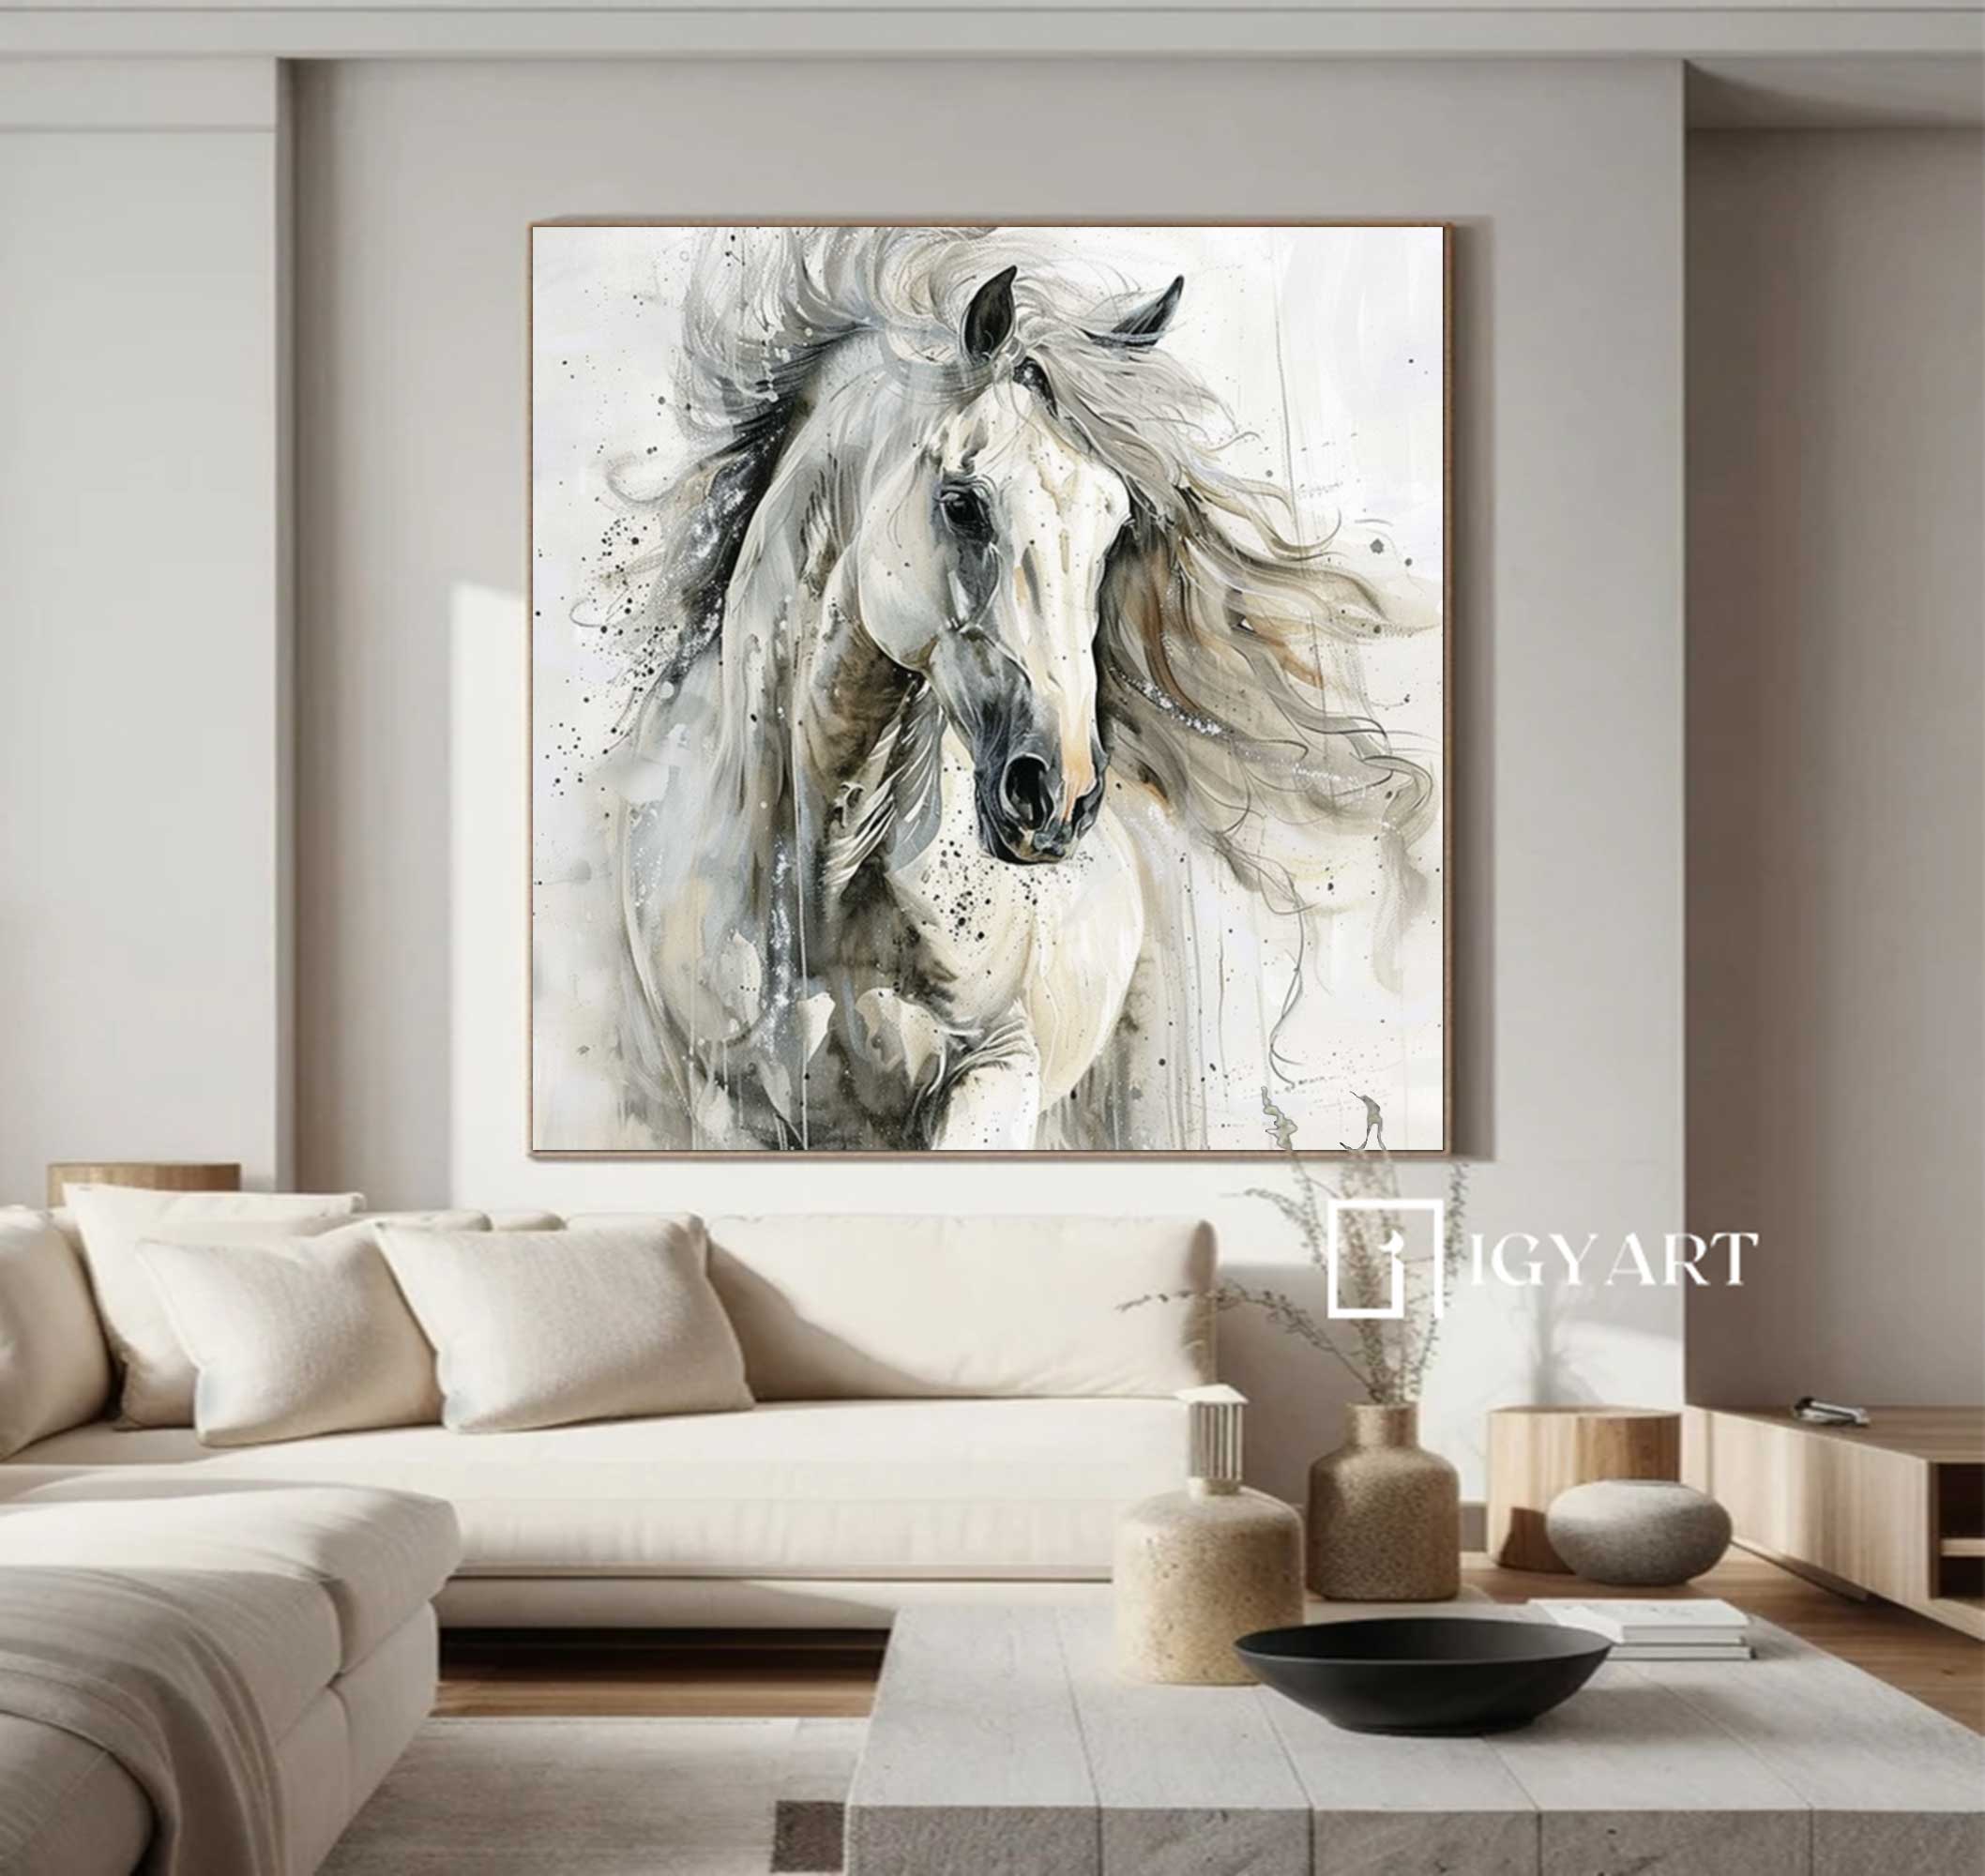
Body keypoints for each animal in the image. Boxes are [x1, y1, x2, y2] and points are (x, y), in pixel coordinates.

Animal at [601, 227, 1434, 1151]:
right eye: (964, 503)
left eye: (1116, 521)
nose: (1058, 796)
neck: (814, 882)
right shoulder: (728, 1112)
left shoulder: (994, 1076)